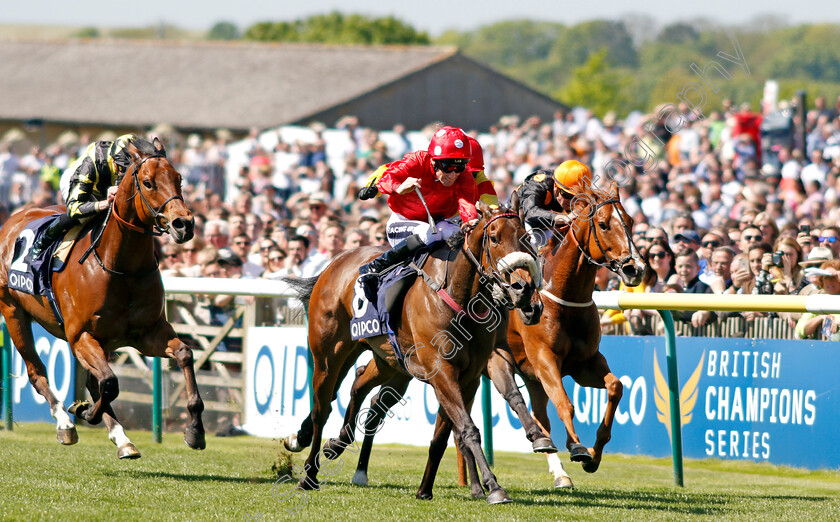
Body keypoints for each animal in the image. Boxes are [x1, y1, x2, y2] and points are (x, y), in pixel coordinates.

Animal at [0, 136, 205, 458]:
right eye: (148, 182)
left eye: (179, 179)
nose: (184, 224)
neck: (121, 266)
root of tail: (15, 217)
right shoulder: (81, 335)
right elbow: (109, 382)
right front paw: (83, 412)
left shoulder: (148, 333)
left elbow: (184, 354)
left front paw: (195, 430)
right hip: (13, 313)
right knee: (37, 372)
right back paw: (66, 423)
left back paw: (121, 438)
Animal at [284, 201, 544, 502]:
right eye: (494, 238)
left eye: (526, 238)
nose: (524, 290)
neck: (459, 297)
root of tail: (334, 264)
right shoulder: (442, 370)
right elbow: (467, 429)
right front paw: (494, 487)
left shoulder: (471, 374)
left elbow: (449, 432)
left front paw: (426, 489)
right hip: (329, 355)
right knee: (322, 409)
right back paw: (309, 474)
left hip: (387, 360)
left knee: (360, 385)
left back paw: (335, 443)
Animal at [322, 181, 644, 490]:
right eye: (603, 224)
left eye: (629, 221)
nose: (635, 268)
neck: (562, 295)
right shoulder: (542, 360)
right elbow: (563, 402)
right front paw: (577, 448)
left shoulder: (584, 363)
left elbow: (615, 387)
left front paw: (593, 456)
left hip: (397, 364)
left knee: (373, 394)